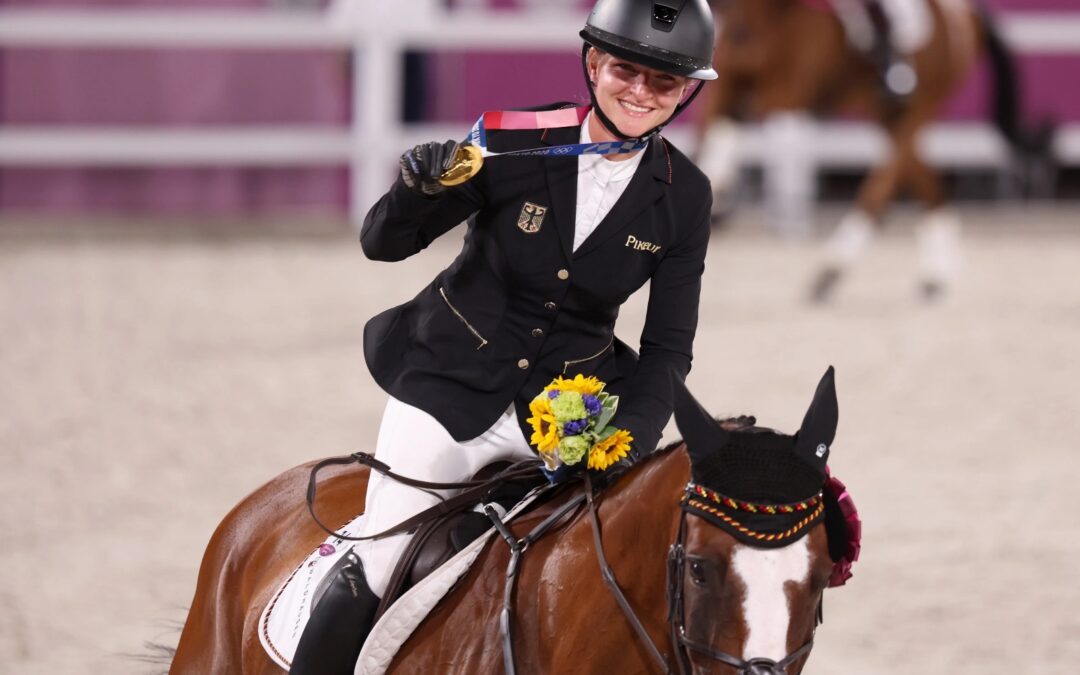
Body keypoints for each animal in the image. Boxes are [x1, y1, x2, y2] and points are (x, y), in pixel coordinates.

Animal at [695, 0, 1049, 300]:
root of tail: (964, 12)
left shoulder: (783, 96)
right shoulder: (727, 90)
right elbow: (712, 148)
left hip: (918, 105)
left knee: (883, 186)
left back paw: (833, 267)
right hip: (887, 113)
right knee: (929, 182)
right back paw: (936, 273)